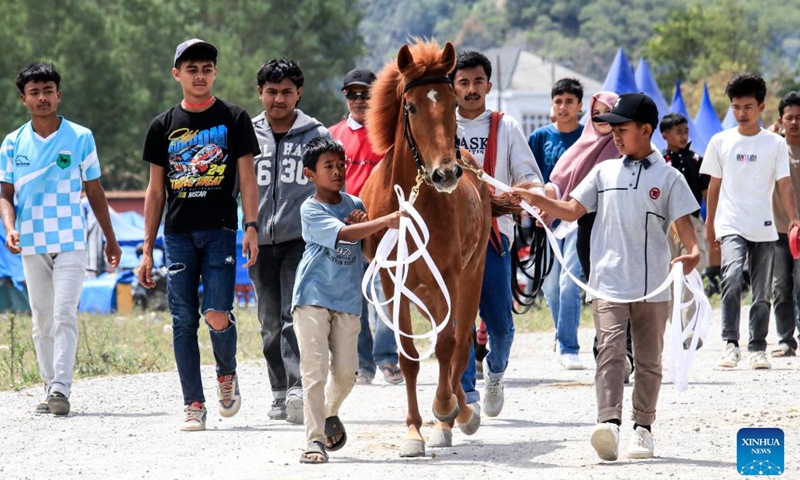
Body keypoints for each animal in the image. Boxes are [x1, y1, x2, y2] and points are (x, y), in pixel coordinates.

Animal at [360, 39, 502, 457]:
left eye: (454, 104)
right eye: (410, 107)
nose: (446, 173)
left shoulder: (449, 278)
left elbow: (447, 345)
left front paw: (444, 410)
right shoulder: (393, 283)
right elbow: (409, 356)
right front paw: (413, 432)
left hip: (471, 277)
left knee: (461, 341)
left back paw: (459, 411)